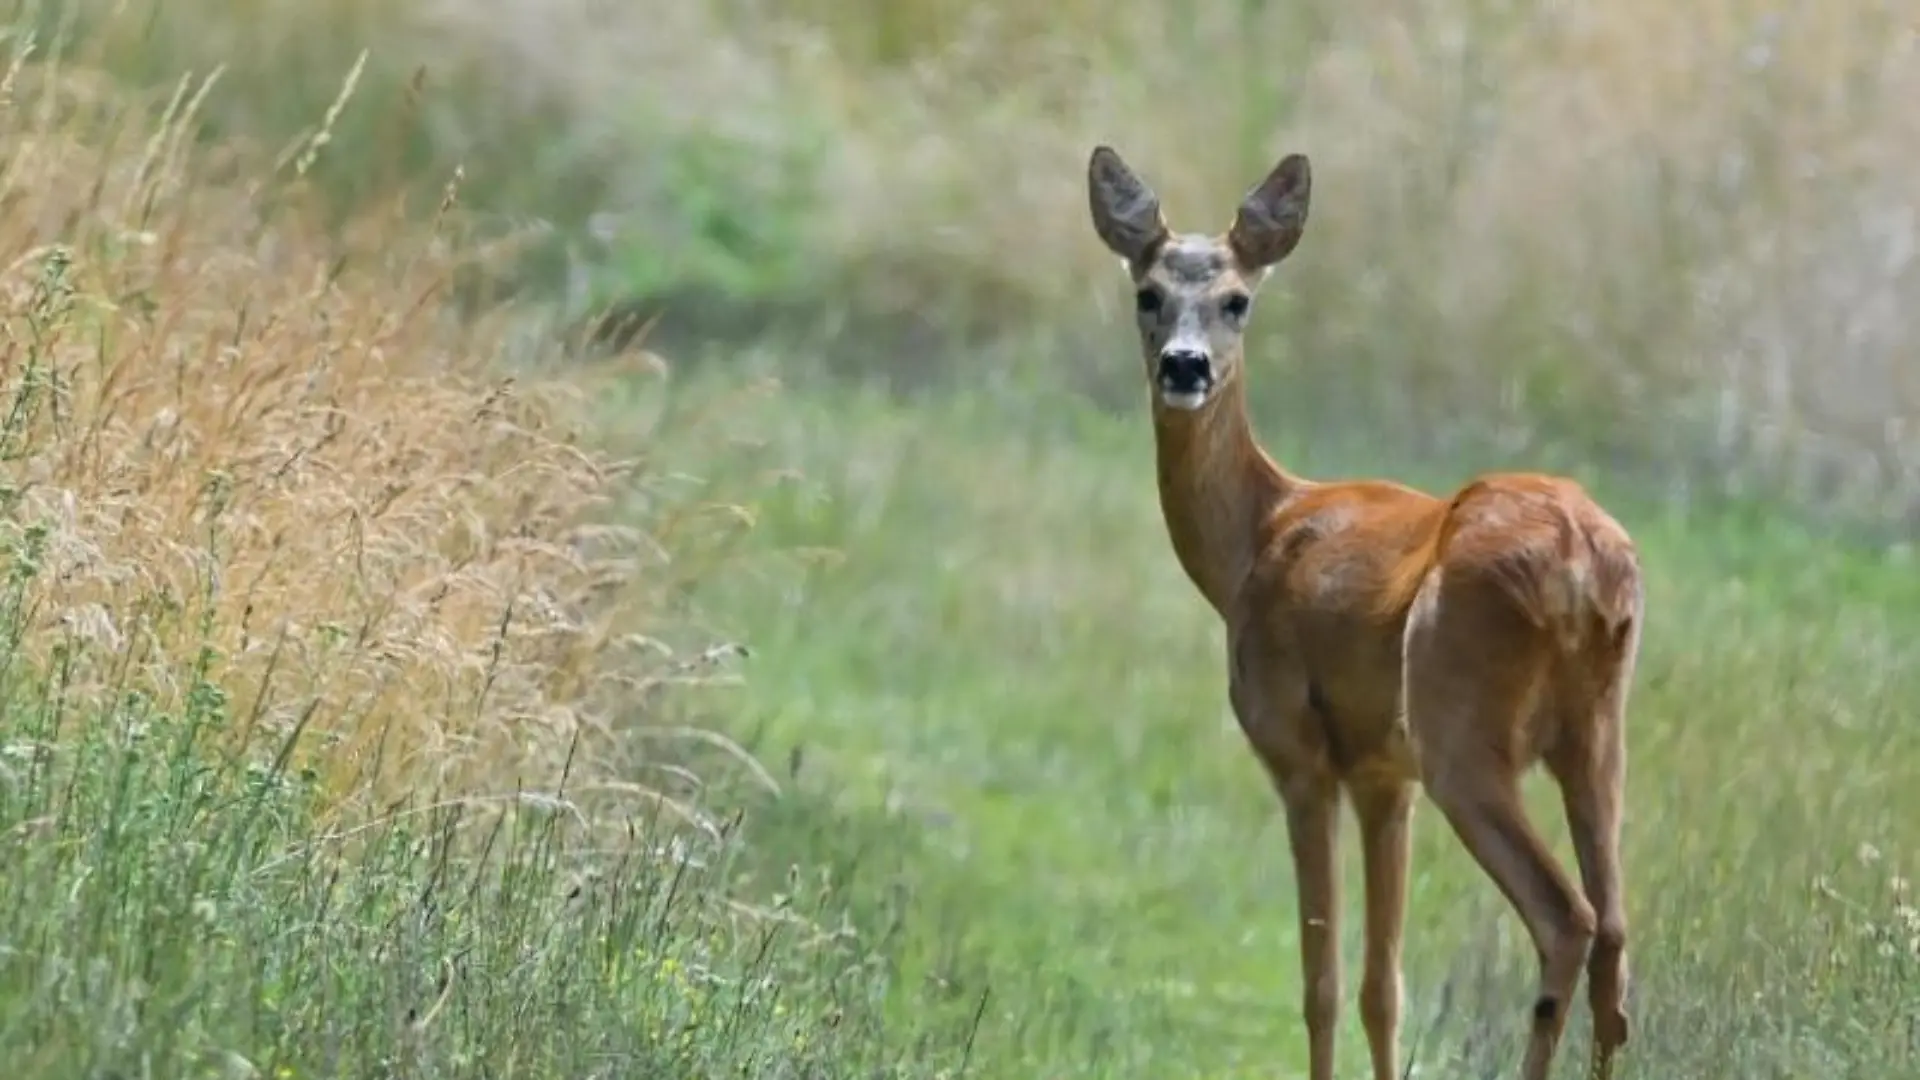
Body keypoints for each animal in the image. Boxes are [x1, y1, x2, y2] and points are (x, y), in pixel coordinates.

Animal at [1084, 144, 1645, 1080]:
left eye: (1238, 300)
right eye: (1148, 293)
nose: (1185, 367)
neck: (1256, 536)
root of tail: (1582, 564)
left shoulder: (1300, 750)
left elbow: (1321, 982)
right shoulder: (1388, 774)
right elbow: (1384, 987)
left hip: (1464, 729)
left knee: (1568, 918)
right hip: (1596, 736)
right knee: (1616, 934)